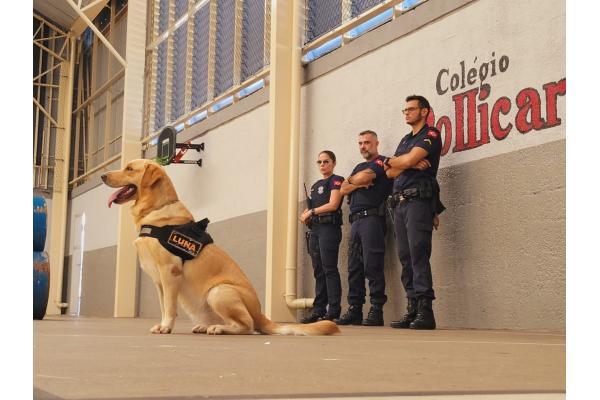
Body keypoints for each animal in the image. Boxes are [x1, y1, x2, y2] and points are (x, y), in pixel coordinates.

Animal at [101, 158, 340, 336]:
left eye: (129, 168)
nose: (103, 176)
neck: (157, 209)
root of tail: (262, 315)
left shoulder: (170, 272)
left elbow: (169, 306)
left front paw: (166, 327)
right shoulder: (159, 280)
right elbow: (163, 305)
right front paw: (163, 324)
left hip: (219, 292)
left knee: (247, 326)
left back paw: (218, 328)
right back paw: (206, 325)